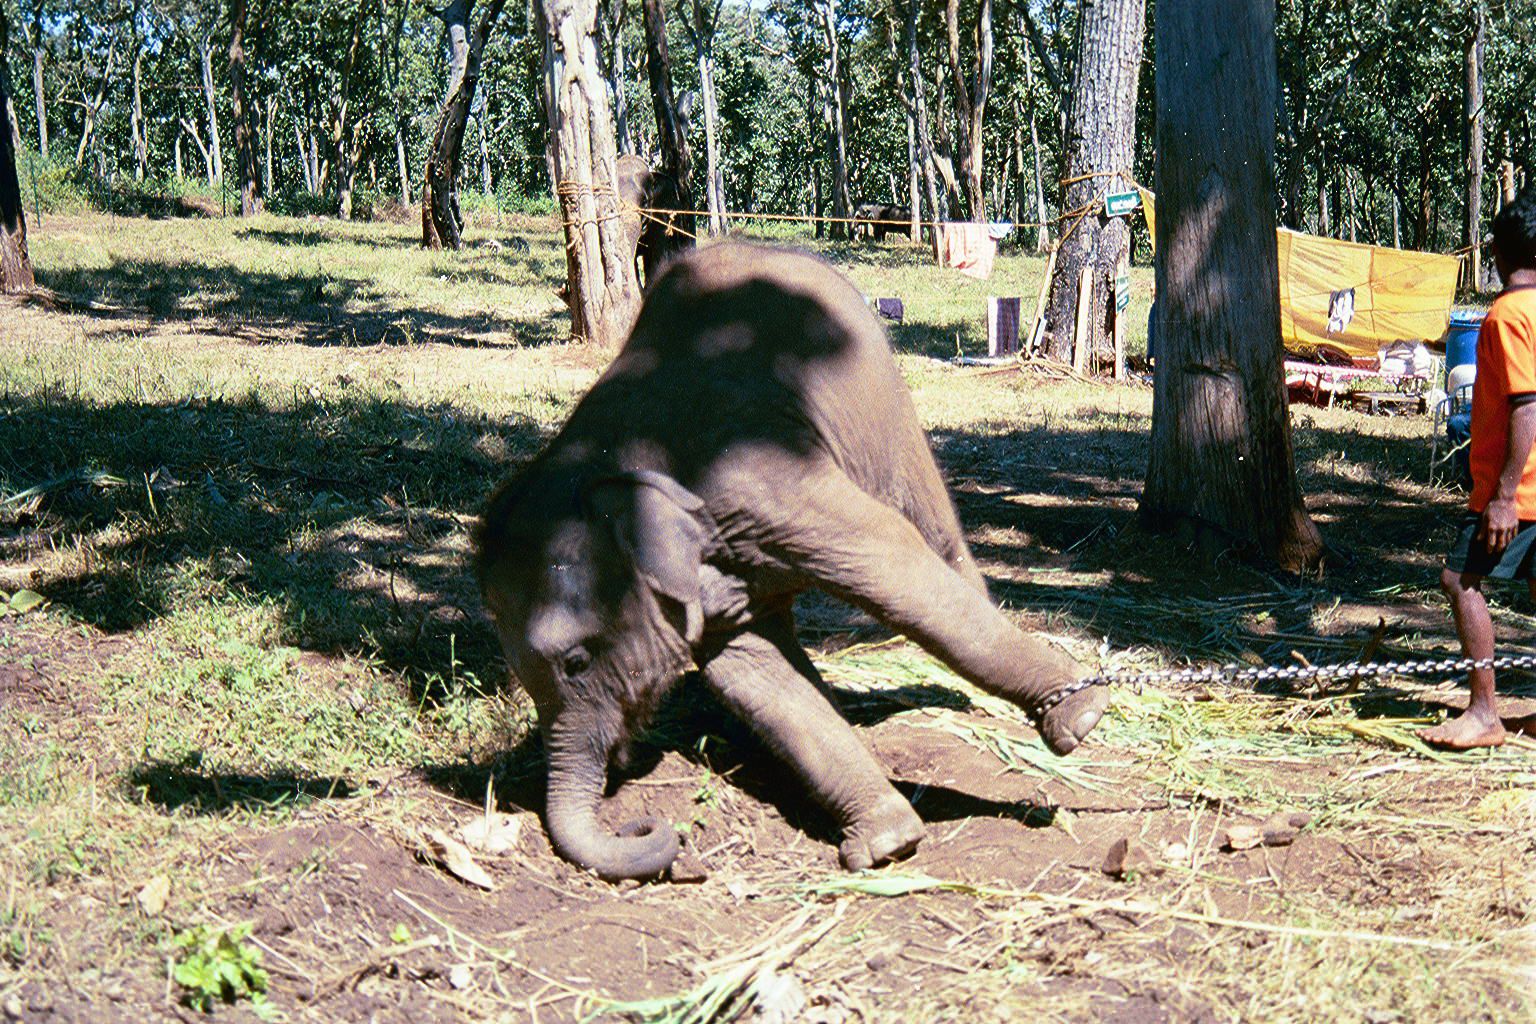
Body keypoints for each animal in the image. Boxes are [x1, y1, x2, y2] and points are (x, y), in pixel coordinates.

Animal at [475, 242, 1107, 882]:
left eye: (576, 661)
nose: (651, 827)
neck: (602, 460)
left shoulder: (759, 475)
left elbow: (890, 562)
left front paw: (1081, 715)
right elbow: (753, 676)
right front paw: (886, 845)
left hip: (878, 391)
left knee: (928, 522)